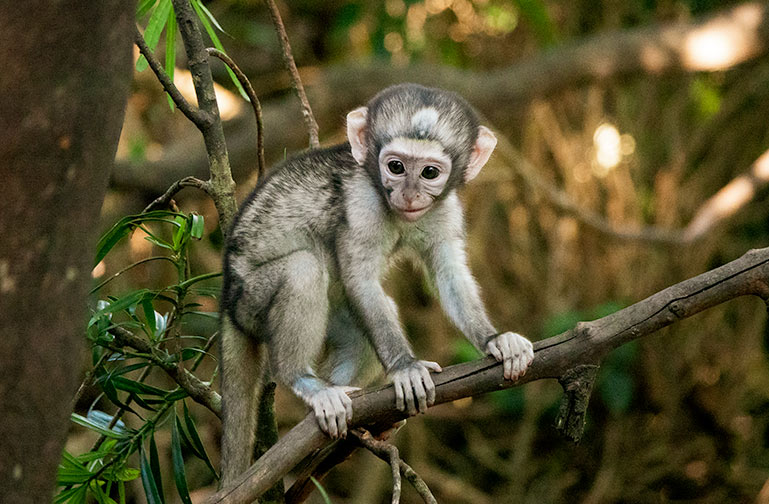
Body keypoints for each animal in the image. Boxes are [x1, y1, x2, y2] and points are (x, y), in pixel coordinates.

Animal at [220, 84, 536, 486]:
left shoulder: (445, 206)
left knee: (360, 339)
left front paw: (496, 341)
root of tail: (227, 297)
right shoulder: (362, 203)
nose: (410, 195)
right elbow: (362, 279)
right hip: (251, 300)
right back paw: (304, 381)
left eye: (429, 172)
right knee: (303, 269)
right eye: (395, 167)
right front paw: (405, 367)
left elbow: (449, 272)